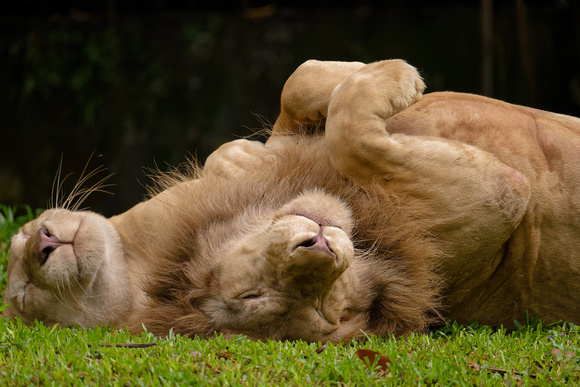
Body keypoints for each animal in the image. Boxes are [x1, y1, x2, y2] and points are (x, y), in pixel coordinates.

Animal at [4, 58, 580, 342]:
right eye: (26, 300)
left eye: (16, 240)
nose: (41, 244)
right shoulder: (494, 195)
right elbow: (349, 132)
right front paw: (395, 76)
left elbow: (296, 82)